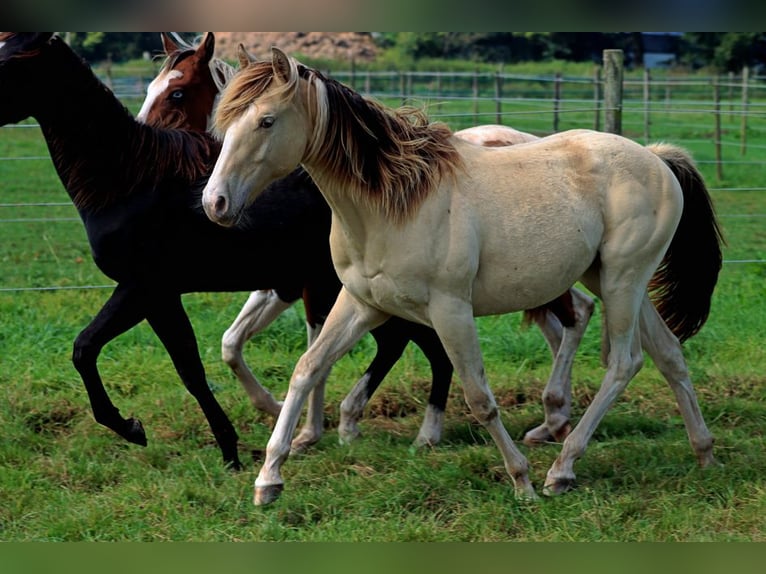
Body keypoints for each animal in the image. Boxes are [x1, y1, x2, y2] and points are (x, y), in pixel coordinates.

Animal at [141, 33, 600, 450]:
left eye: (177, 92)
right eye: (149, 90)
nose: (214, 202)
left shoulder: (317, 288)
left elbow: (319, 351)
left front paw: (309, 430)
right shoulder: (286, 286)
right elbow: (233, 344)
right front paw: (277, 409)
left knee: (576, 314)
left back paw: (549, 416)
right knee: (562, 323)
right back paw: (552, 419)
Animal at [201, 49, 724, 508]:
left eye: (267, 121)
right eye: (224, 120)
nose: (215, 203)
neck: (394, 202)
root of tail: (656, 158)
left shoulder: (450, 310)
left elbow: (479, 397)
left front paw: (521, 482)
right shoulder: (361, 304)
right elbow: (307, 369)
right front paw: (269, 478)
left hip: (622, 281)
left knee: (624, 362)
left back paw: (562, 468)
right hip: (610, 280)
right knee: (669, 354)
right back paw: (703, 453)